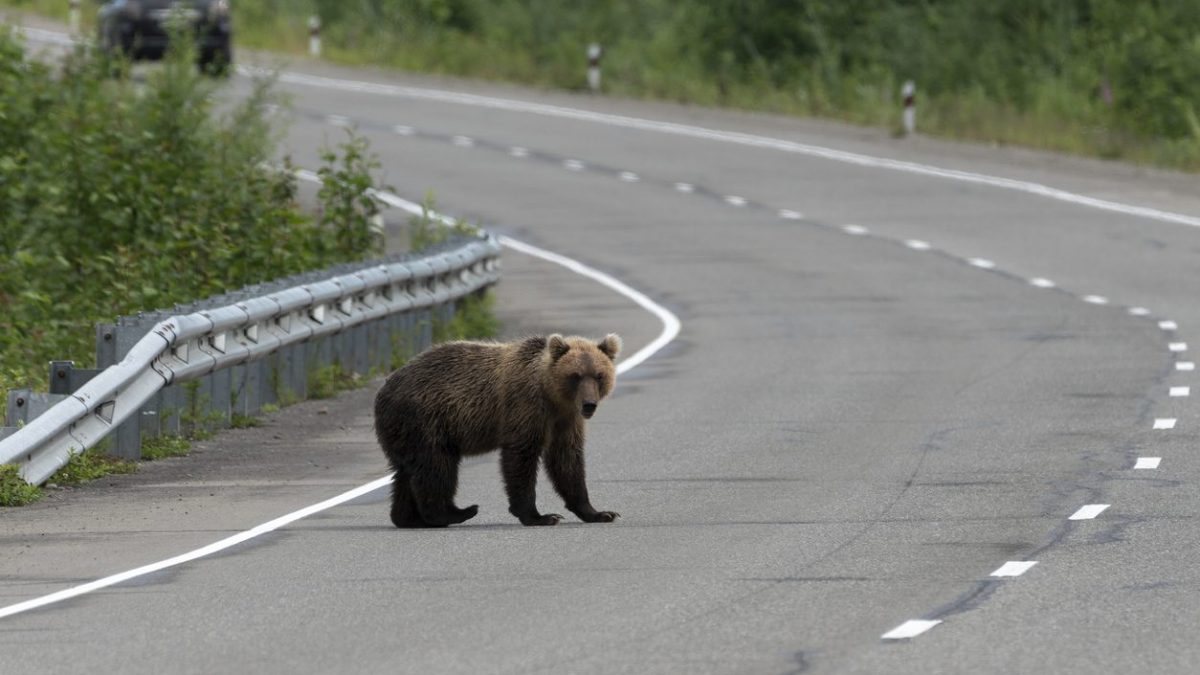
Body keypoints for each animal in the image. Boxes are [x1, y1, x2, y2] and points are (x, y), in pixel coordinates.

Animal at [373, 333, 623, 527]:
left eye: (599, 375)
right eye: (576, 376)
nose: (589, 404)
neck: (552, 396)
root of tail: (383, 391)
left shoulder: (565, 420)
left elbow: (567, 461)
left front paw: (600, 513)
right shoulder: (525, 407)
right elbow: (521, 456)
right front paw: (540, 516)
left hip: (404, 432)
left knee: (406, 472)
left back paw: (408, 519)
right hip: (425, 420)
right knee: (436, 465)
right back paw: (455, 513)